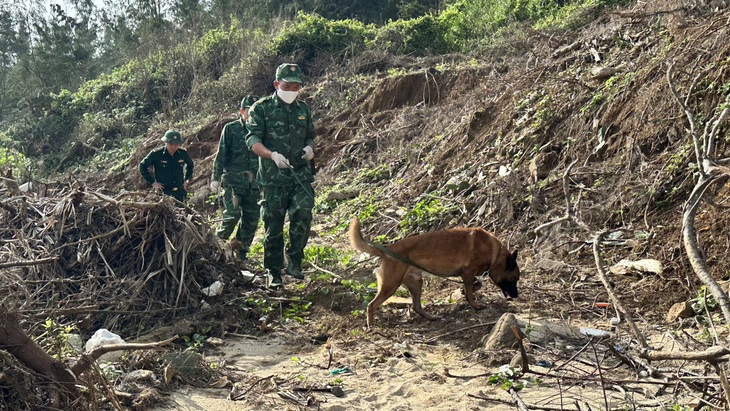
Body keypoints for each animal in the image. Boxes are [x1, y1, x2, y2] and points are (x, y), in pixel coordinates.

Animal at [346, 217, 516, 330]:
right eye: (514, 279)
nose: (516, 296)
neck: (494, 252)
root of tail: (387, 250)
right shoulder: (467, 273)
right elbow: (472, 289)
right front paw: (475, 304)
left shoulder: (467, 274)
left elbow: (476, 284)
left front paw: (466, 292)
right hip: (390, 285)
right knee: (371, 305)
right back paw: (371, 326)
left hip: (415, 283)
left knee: (416, 306)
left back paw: (431, 317)